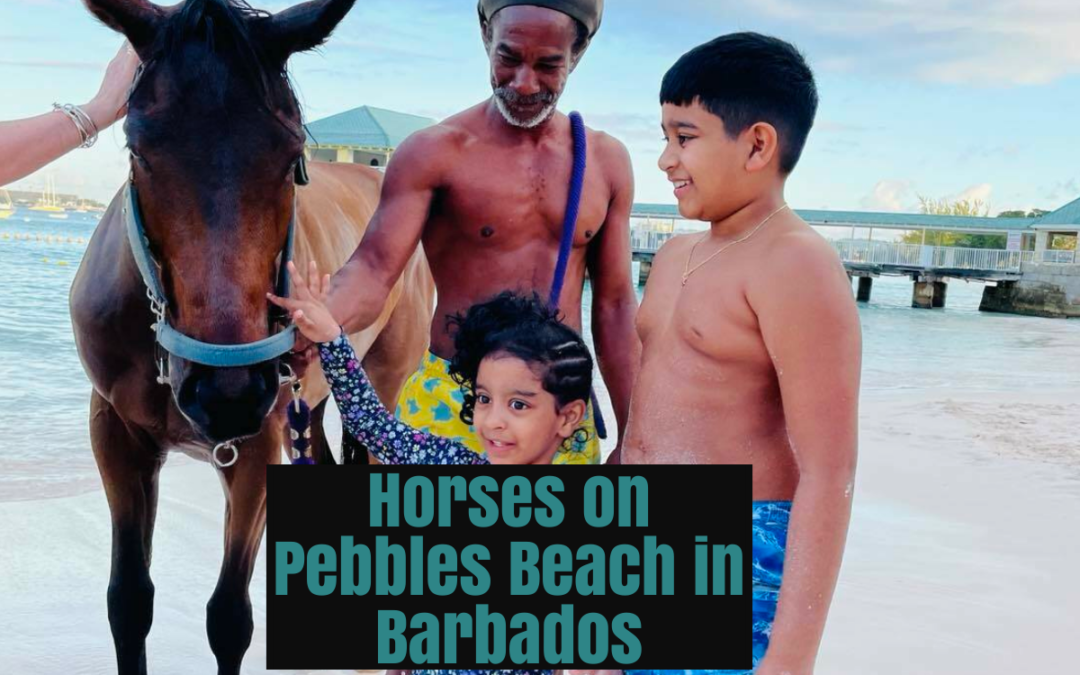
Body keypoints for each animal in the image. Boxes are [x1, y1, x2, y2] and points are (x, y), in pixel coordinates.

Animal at [69, 2, 432, 669]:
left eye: (291, 156)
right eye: (138, 150)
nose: (227, 393)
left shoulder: (257, 448)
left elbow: (229, 619)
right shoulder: (116, 434)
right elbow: (128, 601)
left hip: (381, 382)